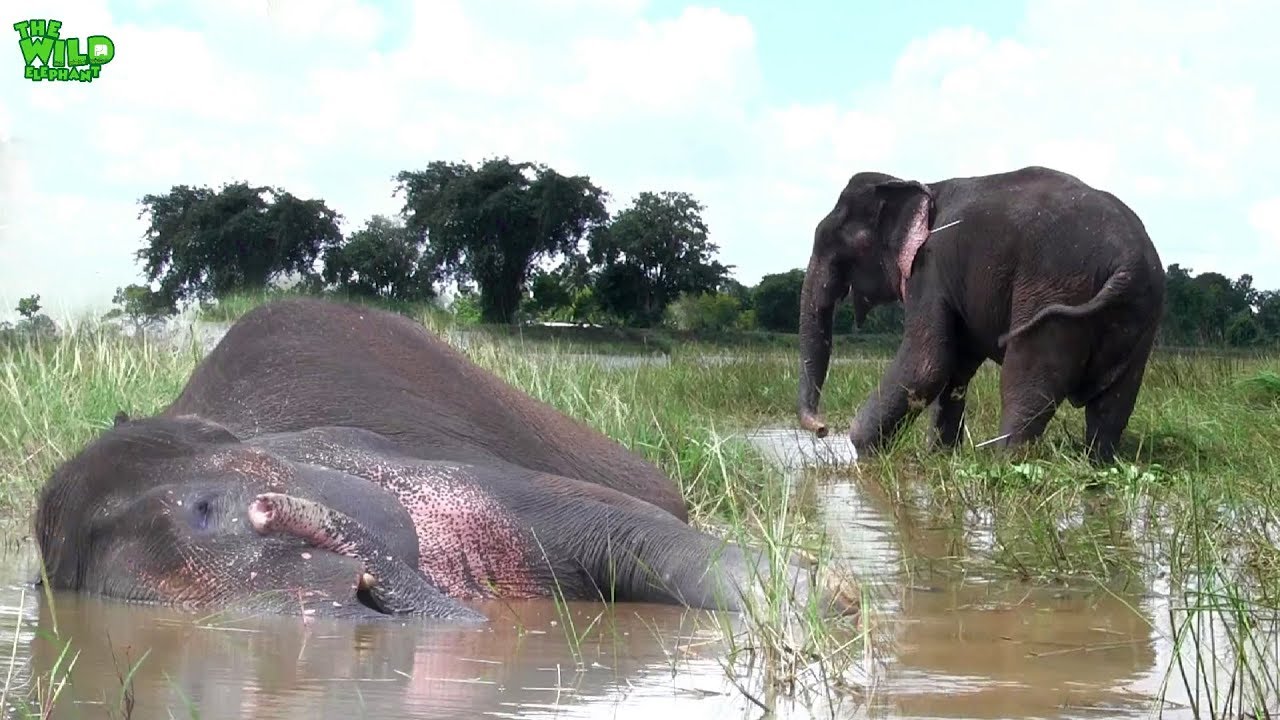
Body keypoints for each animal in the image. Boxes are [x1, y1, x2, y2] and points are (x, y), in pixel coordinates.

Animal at [796, 165, 1165, 462]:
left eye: (841, 247)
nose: (822, 428)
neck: (918, 185)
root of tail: (1131, 261)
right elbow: (956, 367)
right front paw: (939, 458)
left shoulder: (929, 268)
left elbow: (926, 364)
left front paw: (864, 453)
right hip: (1139, 315)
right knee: (1115, 398)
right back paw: (1097, 464)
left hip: (1055, 288)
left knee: (1026, 381)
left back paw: (1002, 462)